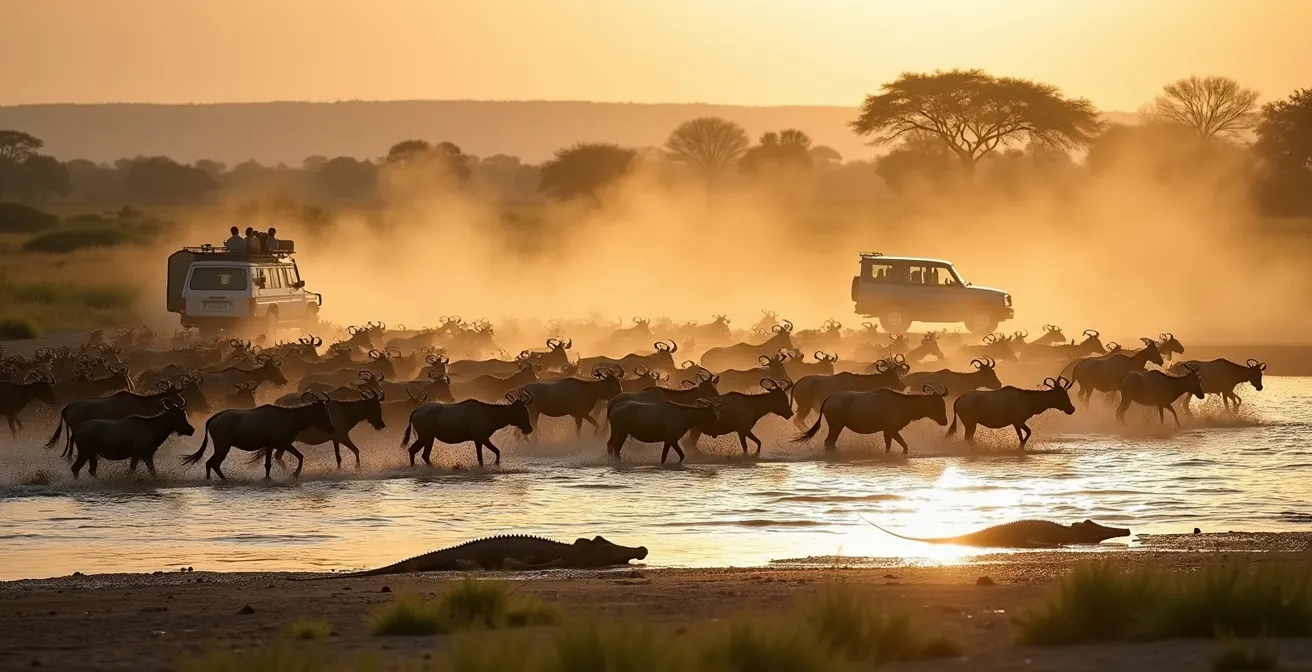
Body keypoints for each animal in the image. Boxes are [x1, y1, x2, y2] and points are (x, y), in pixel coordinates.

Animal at [794, 384, 949, 453]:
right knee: (828, 442)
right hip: (836, 425)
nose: (945, 421)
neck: (903, 404)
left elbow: (889, 446)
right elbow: (904, 445)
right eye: (938, 404)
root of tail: (828, 399)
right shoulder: (891, 429)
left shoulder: (887, 431)